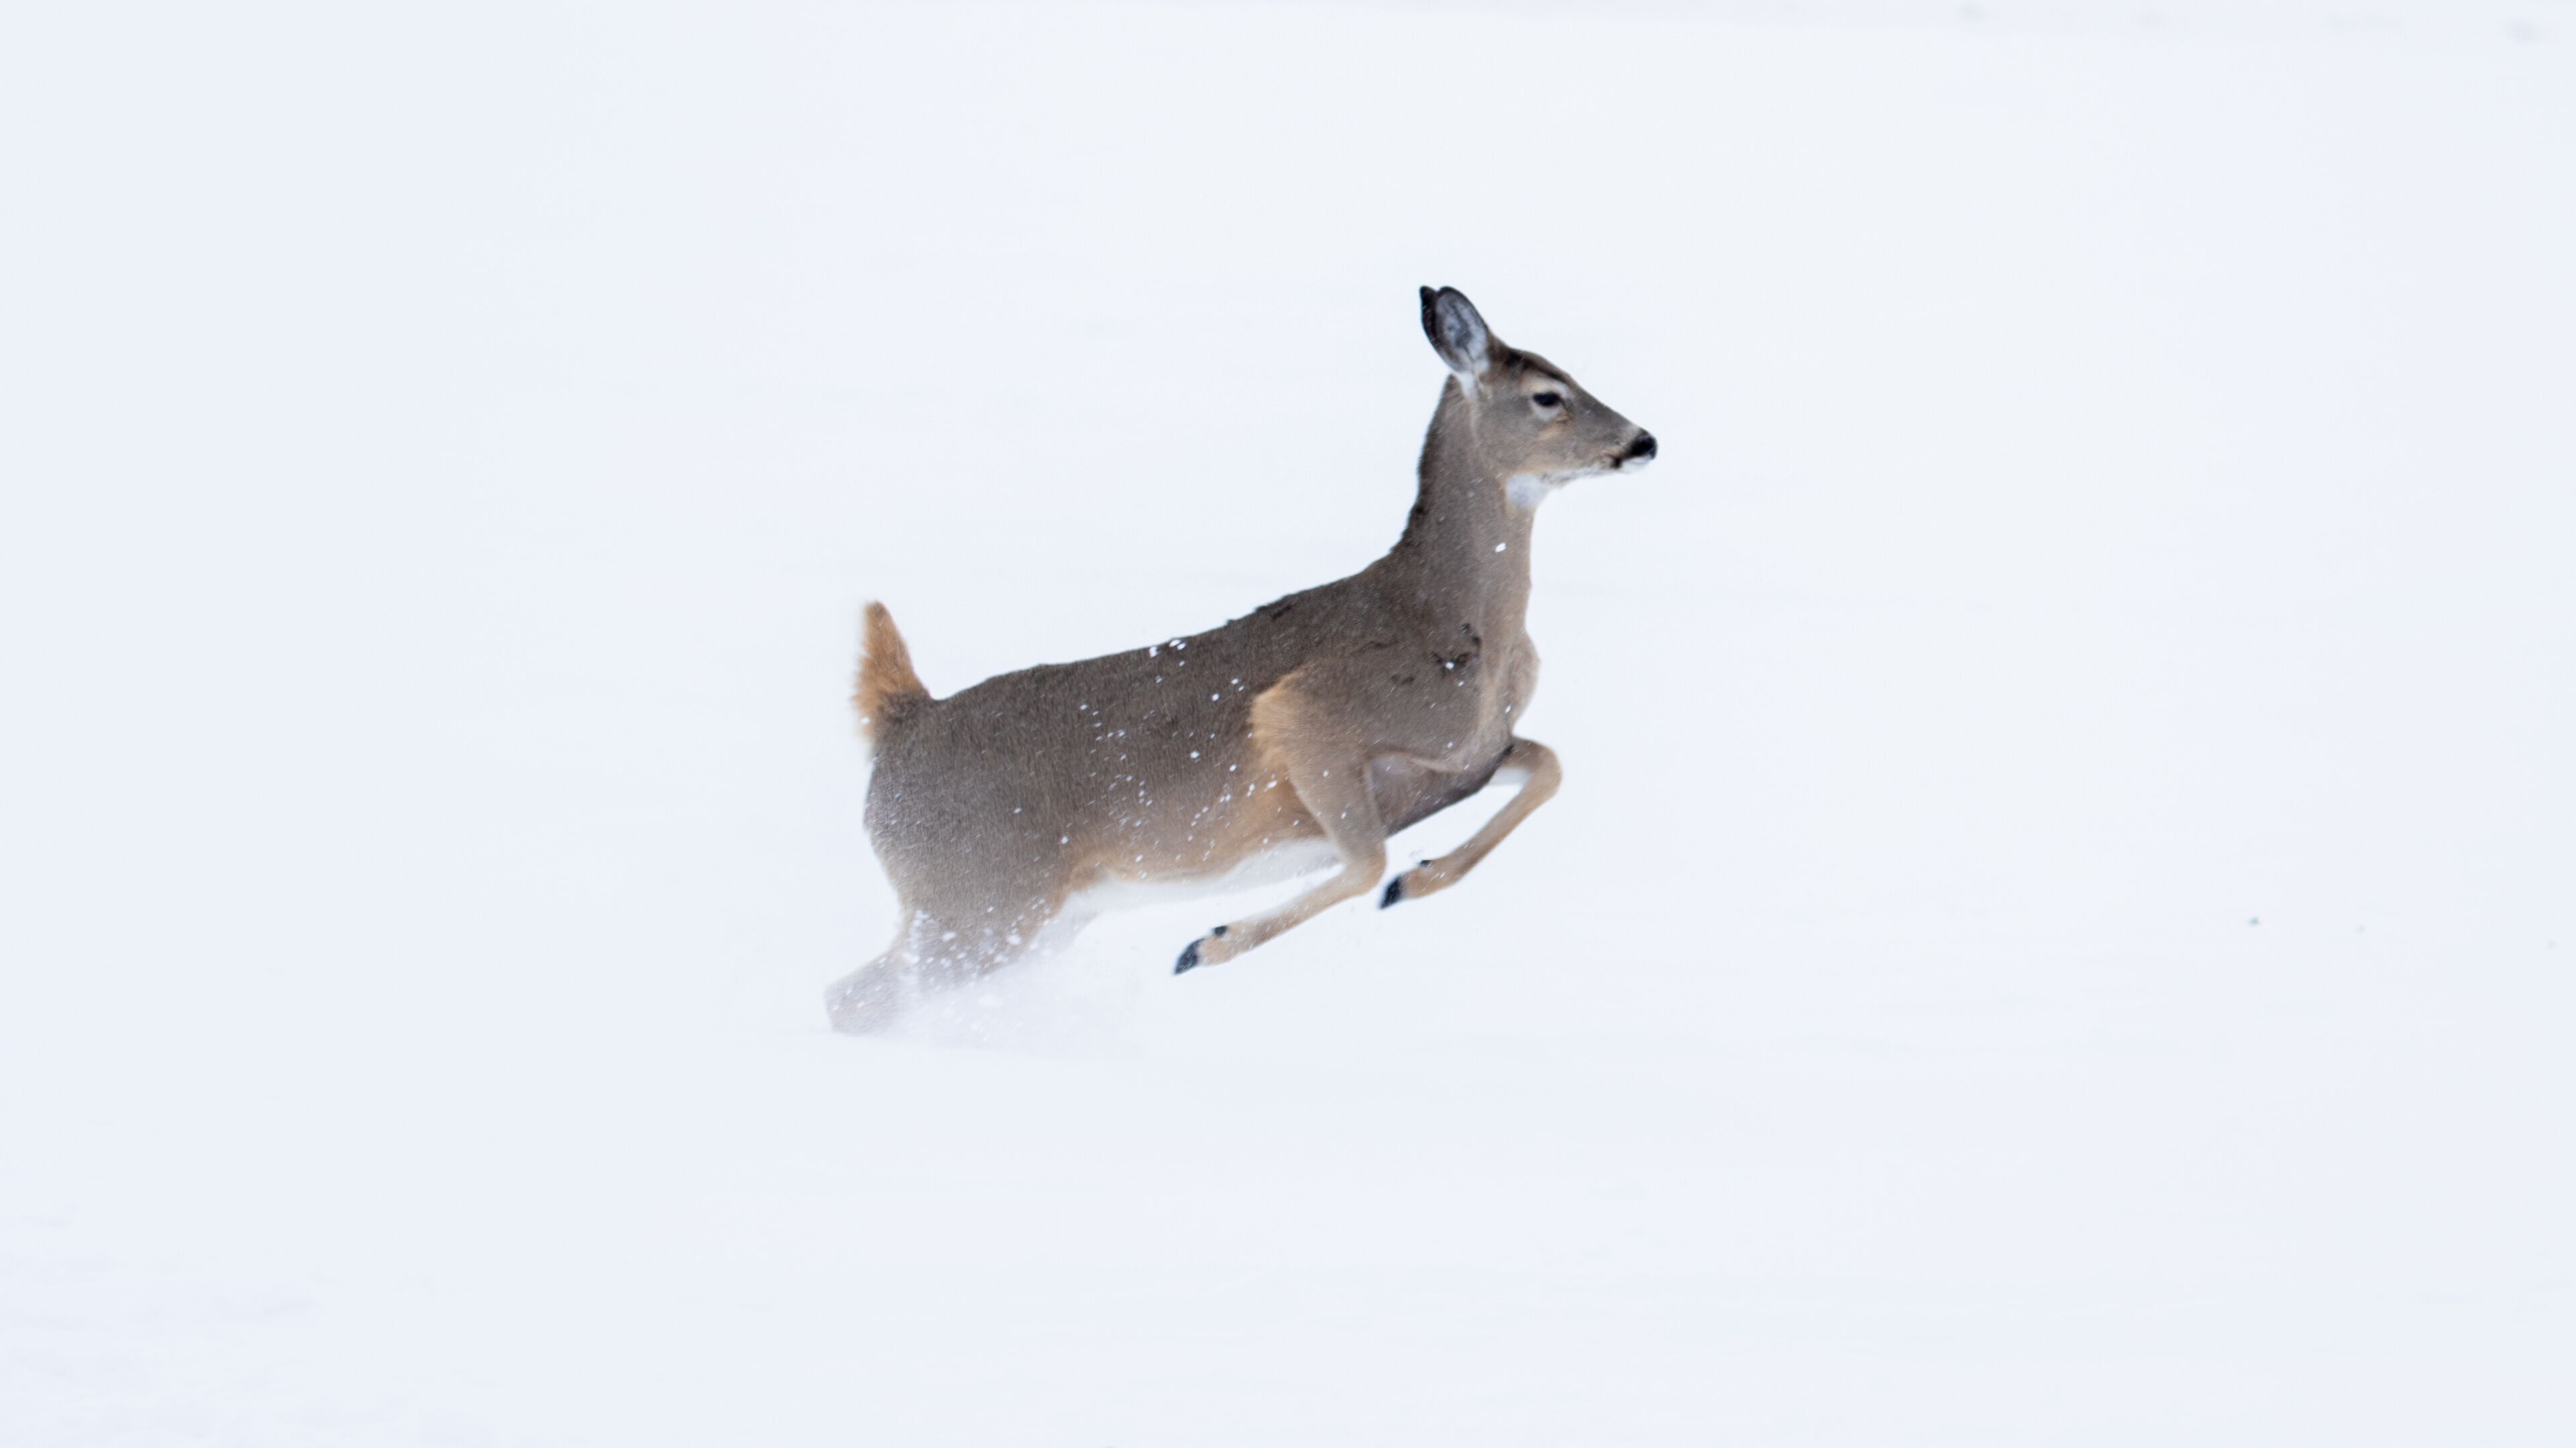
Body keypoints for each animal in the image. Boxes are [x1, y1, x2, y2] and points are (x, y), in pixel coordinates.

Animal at [827, 287, 1655, 1033]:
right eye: (1548, 395)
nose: (1644, 440)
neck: (1460, 625)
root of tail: (902, 722)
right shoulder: (1311, 713)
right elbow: (1364, 860)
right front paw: (1208, 943)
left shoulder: (1466, 760)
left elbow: (1547, 766)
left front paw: (1416, 881)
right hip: (978, 900)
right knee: (848, 999)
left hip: (1025, 918)